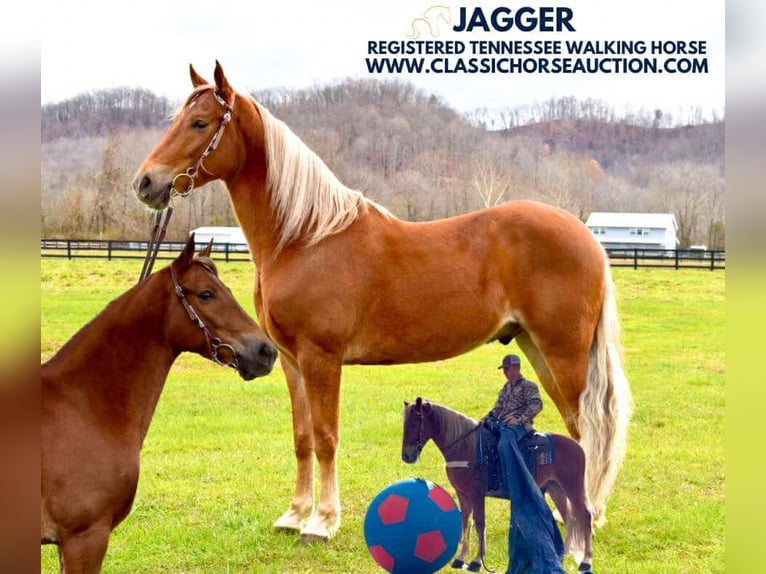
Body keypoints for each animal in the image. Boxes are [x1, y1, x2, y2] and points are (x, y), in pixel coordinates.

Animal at [134, 63, 636, 544]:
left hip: (564, 353)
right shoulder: (291, 361)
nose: (145, 182)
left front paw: (322, 523)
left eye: (200, 123)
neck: (305, 237)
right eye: (176, 119)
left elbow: (326, 437)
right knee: (575, 429)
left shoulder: (320, 358)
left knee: (588, 430)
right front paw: (294, 515)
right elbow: (301, 437)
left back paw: (582, 517)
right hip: (536, 347)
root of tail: (588, 238)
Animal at [404, 400, 596, 574]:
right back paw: (564, 554)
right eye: (404, 424)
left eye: (414, 424)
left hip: (573, 487)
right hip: (555, 488)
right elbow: (466, 521)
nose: (406, 456)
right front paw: (460, 559)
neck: (465, 446)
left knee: (585, 516)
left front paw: (477, 562)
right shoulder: (462, 494)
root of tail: (577, 447)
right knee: (568, 516)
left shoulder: (476, 494)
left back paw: (586, 562)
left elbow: (479, 523)